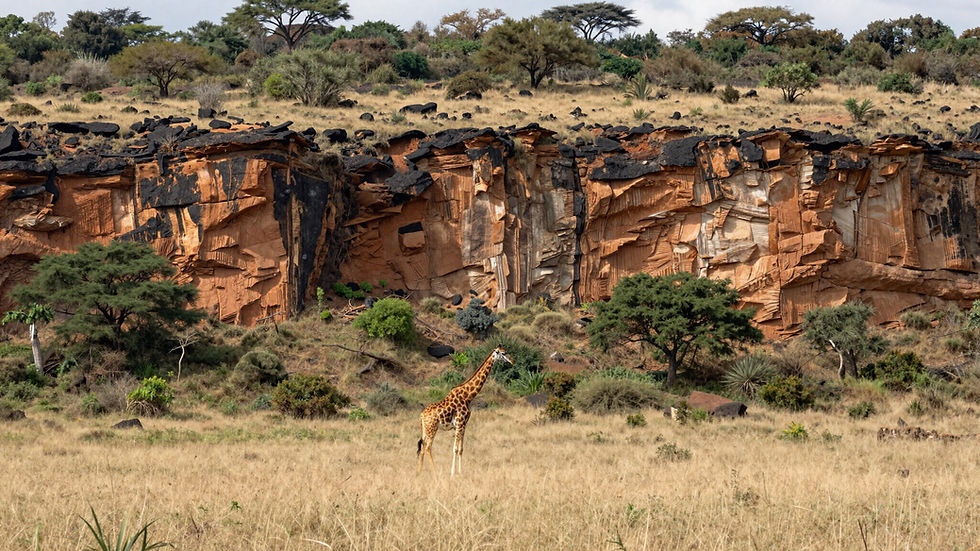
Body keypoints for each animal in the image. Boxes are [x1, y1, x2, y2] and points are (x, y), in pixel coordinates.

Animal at [417, 346, 512, 475]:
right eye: (503, 353)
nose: (512, 361)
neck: (468, 396)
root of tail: (422, 415)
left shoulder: (464, 425)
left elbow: (461, 449)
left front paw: (460, 472)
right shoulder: (460, 424)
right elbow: (455, 449)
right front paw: (452, 473)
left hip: (426, 430)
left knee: (422, 447)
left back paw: (419, 472)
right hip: (432, 429)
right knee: (427, 448)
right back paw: (435, 473)